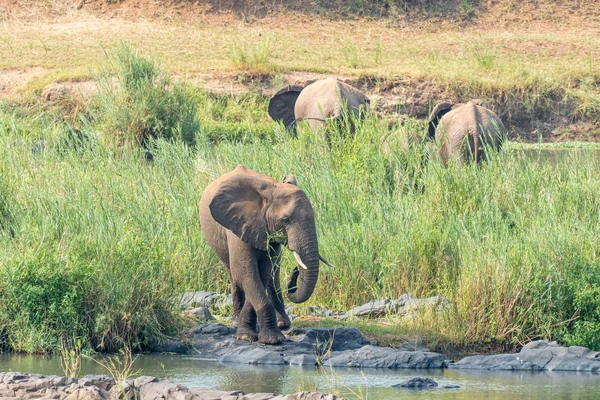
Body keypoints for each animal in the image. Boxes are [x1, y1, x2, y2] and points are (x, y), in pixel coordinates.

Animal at [200, 165, 332, 344]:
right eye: (285, 220)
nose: (296, 269)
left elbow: (262, 274)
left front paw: (257, 336)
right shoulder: (238, 227)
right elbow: (246, 273)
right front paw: (259, 338)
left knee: (273, 275)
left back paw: (282, 324)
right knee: (233, 274)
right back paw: (236, 321)